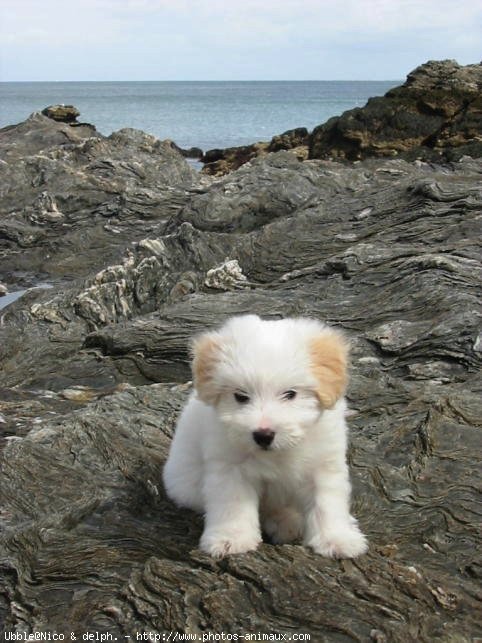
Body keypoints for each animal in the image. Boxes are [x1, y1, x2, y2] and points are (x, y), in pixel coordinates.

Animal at [163, 316, 370, 560]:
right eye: (241, 396)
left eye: (290, 394)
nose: (263, 435)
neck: (279, 452)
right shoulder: (230, 469)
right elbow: (232, 505)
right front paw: (231, 539)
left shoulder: (323, 466)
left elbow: (326, 503)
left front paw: (336, 539)